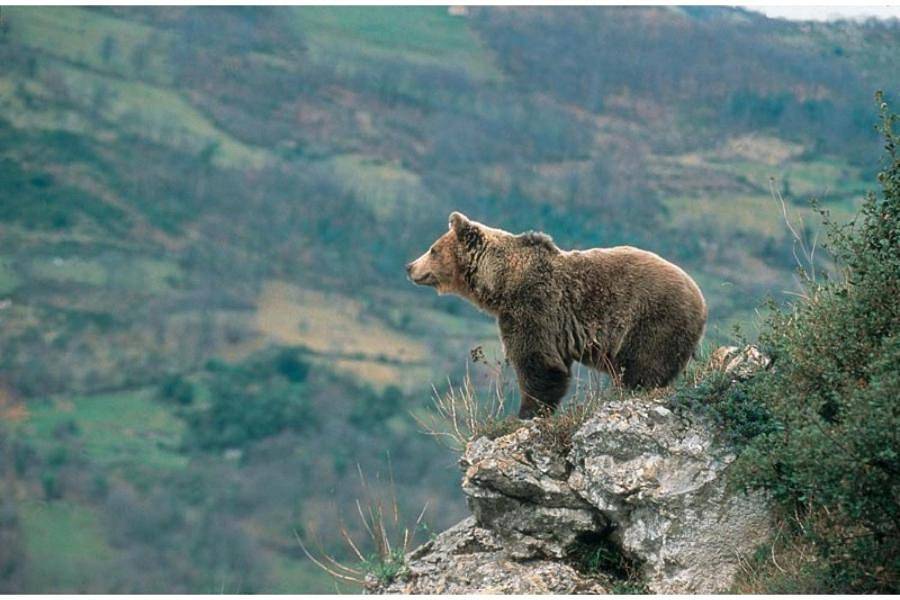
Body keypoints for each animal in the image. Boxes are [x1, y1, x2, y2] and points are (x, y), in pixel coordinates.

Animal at [406, 212, 708, 419]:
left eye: (432, 249)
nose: (409, 266)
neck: (501, 282)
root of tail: (701, 299)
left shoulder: (534, 307)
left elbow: (537, 362)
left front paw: (525, 413)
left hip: (653, 319)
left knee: (644, 366)